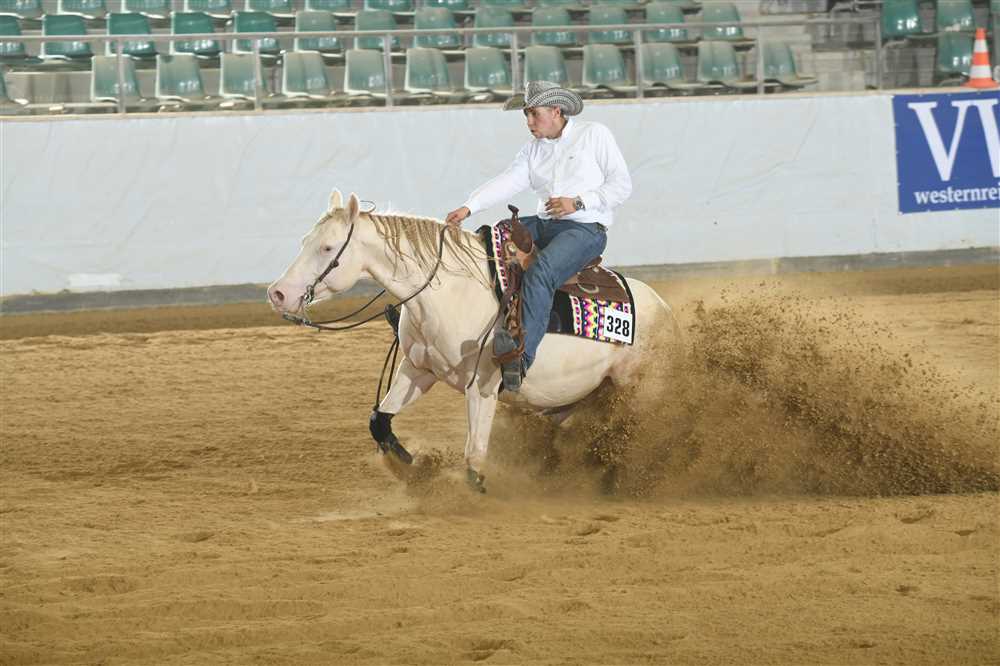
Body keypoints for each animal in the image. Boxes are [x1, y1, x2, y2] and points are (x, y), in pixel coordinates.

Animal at [267, 189, 679, 491]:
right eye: (305, 240)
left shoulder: (483, 386)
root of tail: (664, 310)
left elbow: (474, 454)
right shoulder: (419, 369)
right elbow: (379, 421)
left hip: (640, 389)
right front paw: (410, 466)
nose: (278, 294)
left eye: (327, 248)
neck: (448, 292)